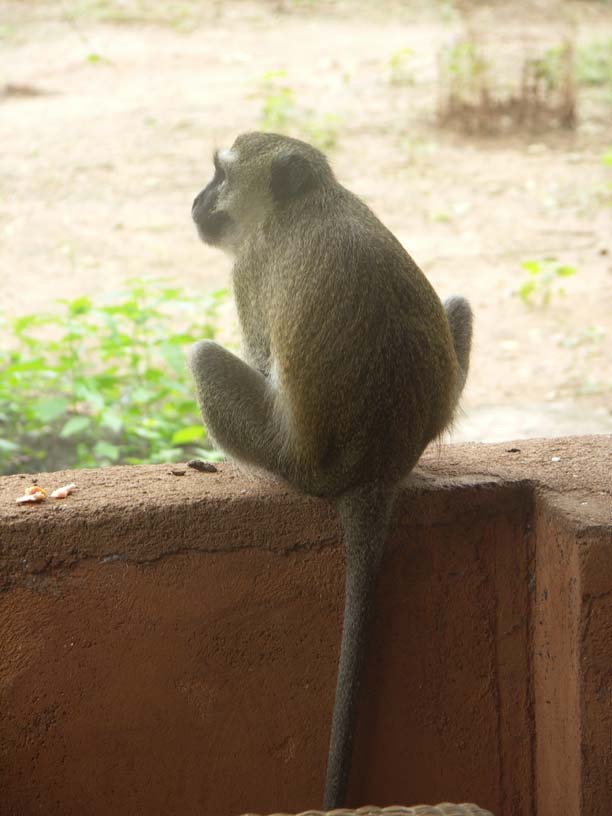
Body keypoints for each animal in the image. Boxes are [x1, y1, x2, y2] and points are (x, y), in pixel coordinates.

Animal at [188, 132, 472, 810]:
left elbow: (264, 361)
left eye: (220, 175)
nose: (197, 200)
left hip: (292, 459)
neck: (306, 201)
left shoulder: (250, 271)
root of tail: (377, 468)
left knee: (207, 359)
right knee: (458, 306)